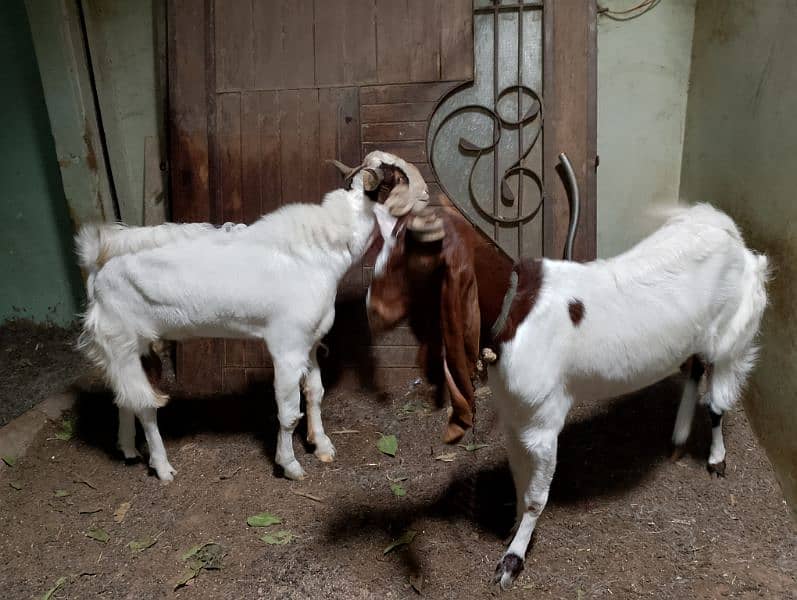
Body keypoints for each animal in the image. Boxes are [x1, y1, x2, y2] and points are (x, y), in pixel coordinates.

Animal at [76, 151, 430, 482]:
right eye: (398, 177)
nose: (427, 192)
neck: (324, 249)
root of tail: (97, 262)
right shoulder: (287, 347)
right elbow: (289, 413)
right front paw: (289, 465)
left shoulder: (310, 341)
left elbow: (315, 393)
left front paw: (322, 445)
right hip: (122, 336)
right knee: (144, 403)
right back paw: (162, 467)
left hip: (131, 345)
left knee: (124, 395)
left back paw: (129, 449)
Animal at [478, 204, 764, 588]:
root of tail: (723, 223)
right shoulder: (514, 417)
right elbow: (519, 479)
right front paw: (513, 531)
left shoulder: (543, 422)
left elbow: (537, 496)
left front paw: (512, 560)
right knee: (694, 367)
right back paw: (677, 439)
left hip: (733, 333)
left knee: (717, 399)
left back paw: (716, 458)